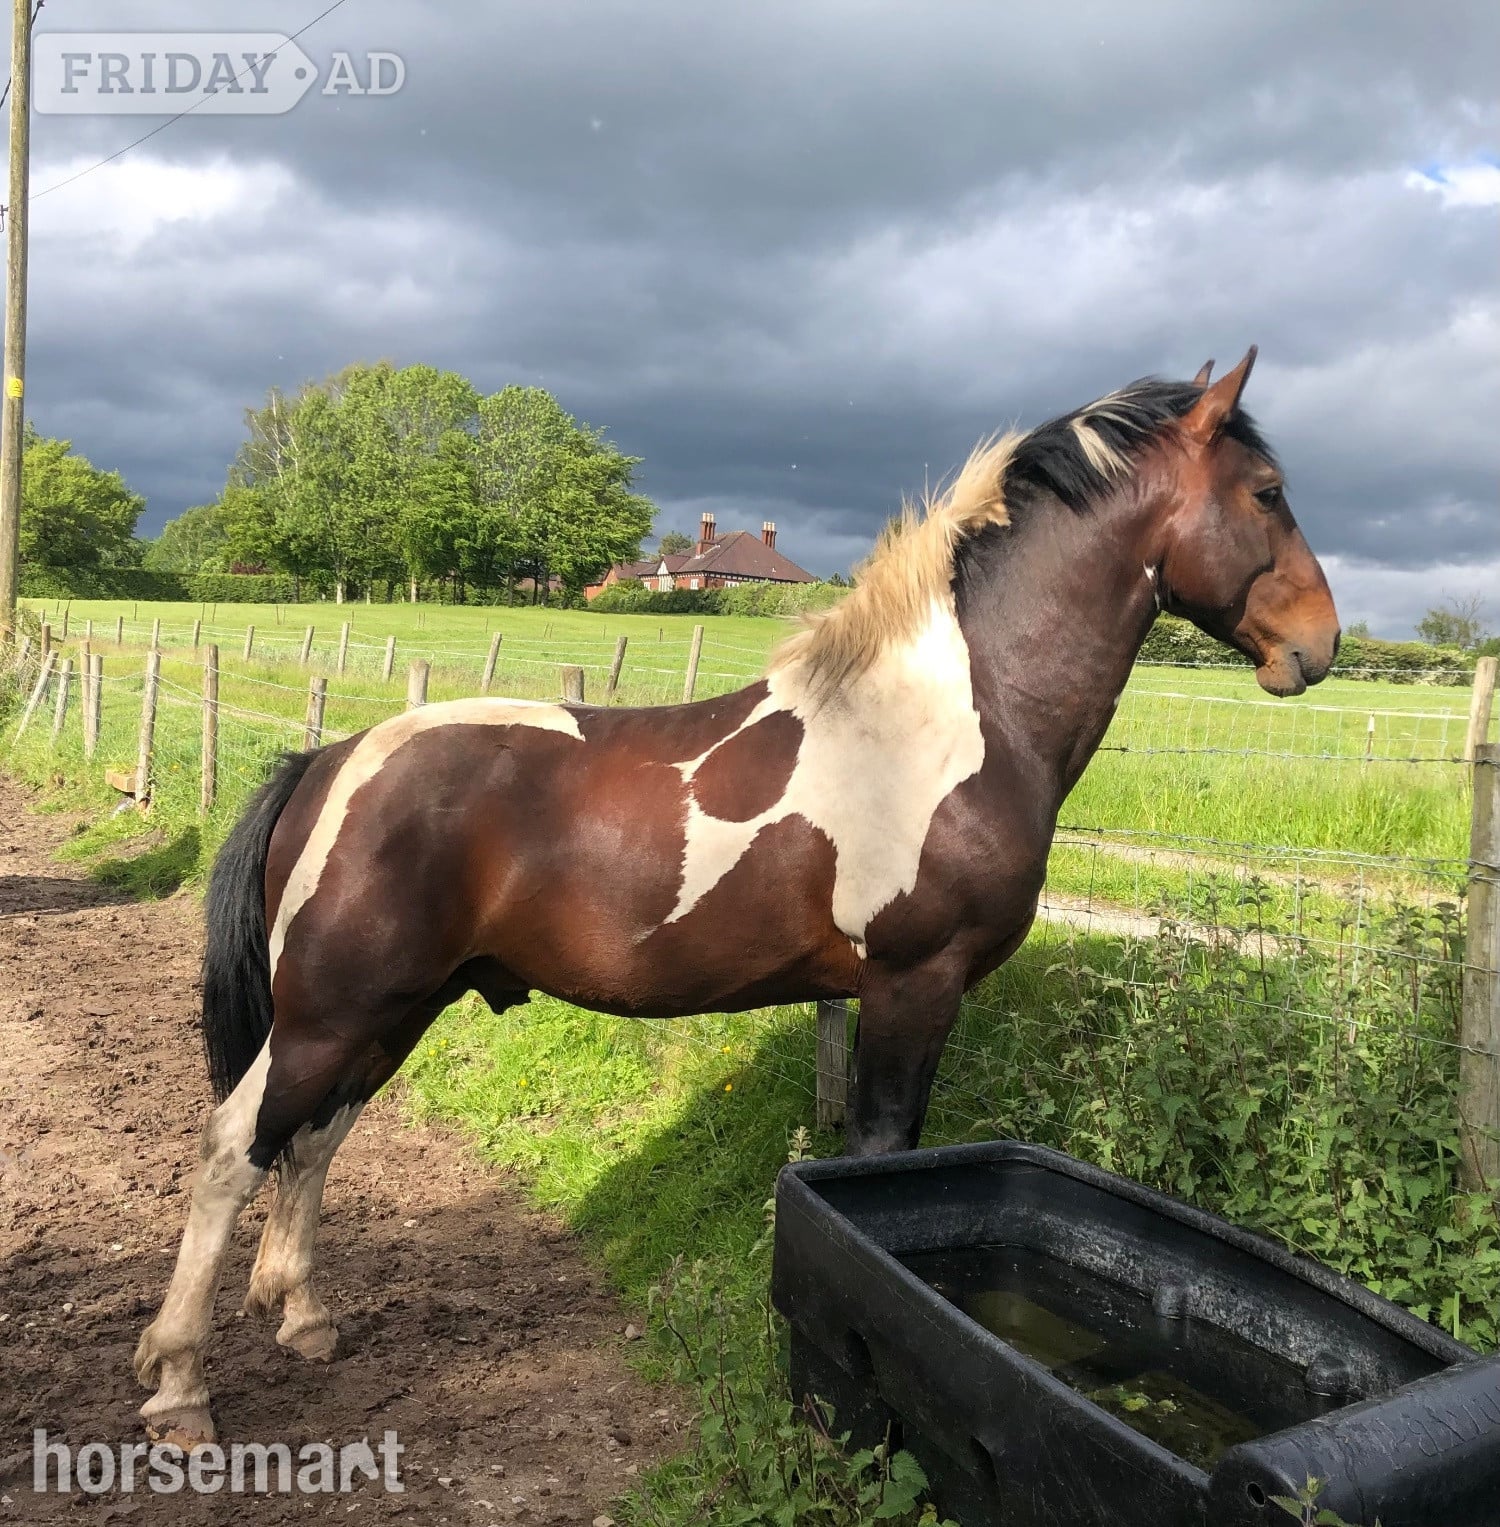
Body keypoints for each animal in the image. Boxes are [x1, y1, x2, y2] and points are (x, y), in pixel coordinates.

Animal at [134, 347, 1339, 1445]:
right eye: (1267, 492)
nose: (1318, 643)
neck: (955, 721)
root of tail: (329, 760)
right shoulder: (916, 984)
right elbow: (881, 1156)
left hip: (389, 1011)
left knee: (313, 1144)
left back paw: (303, 1319)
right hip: (332, 1013)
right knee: (233, 1148)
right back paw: (181, 1384)